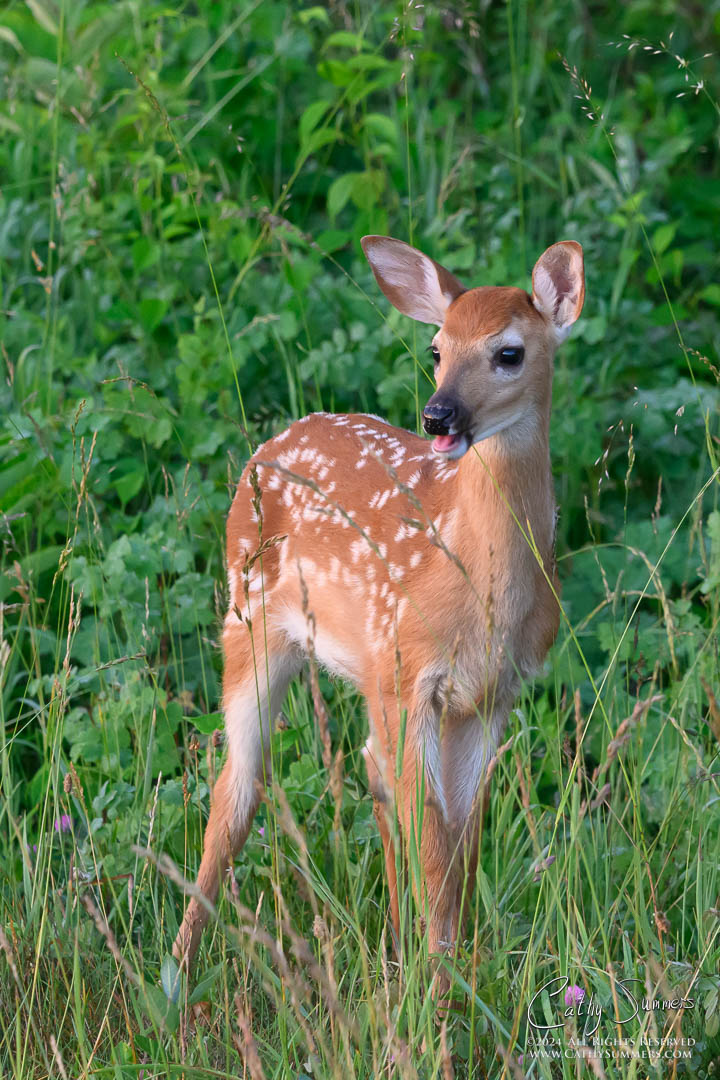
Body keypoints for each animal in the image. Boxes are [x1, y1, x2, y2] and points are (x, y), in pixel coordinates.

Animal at [173, 235, 585, 990]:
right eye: (437, 347)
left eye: (509, 352)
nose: (437, 415)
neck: (480, 585)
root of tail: (272, 443)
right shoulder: (410, 674)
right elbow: (435, 843)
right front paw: (444, 985)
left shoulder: (490, 696)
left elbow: (462, 838)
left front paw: (451, 970)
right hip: (248, 620)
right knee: (236, 792)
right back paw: (178, 972)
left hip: (364, 674)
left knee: (370, 775)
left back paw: (393, 947)